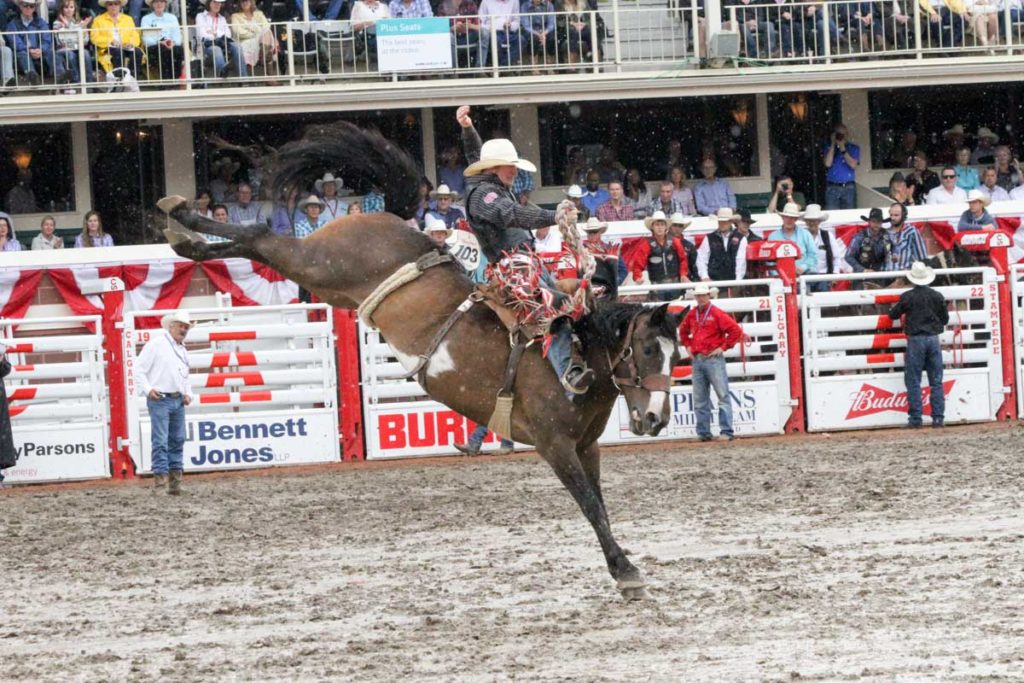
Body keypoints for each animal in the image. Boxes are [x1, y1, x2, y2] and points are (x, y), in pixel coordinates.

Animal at [157, 121, 679, 598]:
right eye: (649, 349)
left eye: (677, 353)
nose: (656, 418)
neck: (578, 353)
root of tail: (383, 217)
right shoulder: (555, 446)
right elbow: (589, 504)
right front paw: (627, 572)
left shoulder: (586, 447)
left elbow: (600, 505)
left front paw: (622, 567)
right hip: (319, 263)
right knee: (262, 234)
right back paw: (181, 220)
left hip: (330, 285)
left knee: (258, 243)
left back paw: (187, 238)